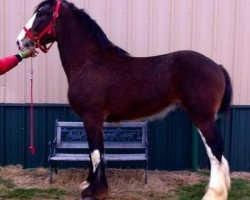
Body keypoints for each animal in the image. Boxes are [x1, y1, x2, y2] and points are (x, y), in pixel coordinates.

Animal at [17, 0, 232, 199]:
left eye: (42, 13)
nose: (21, 42)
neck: (89, 61)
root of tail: (217, 66)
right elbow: (92, 152)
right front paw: (88, 184)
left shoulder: (92, 117)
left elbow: (96, 152)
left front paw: (93, 191)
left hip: (202, 117)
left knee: (215, 149)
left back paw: (213, 193)